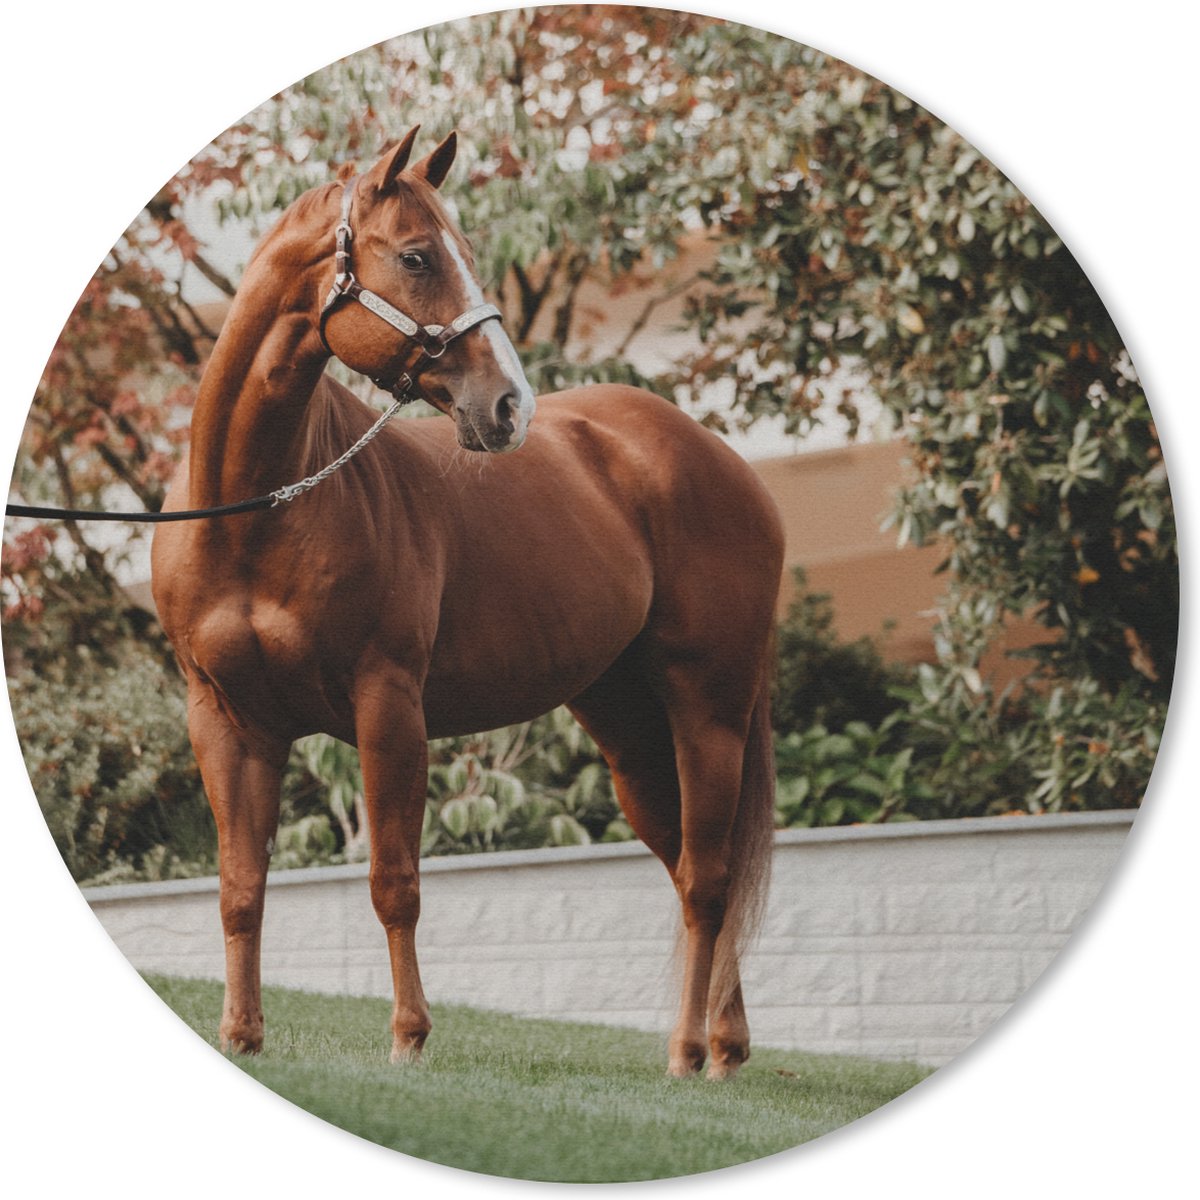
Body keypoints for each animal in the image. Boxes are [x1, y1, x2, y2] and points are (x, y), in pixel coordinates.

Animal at [151, 127, 785, 1080]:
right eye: (417, 256)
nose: (508, 405)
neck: (254, 511)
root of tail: (721, 461)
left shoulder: (388, 707)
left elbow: (395, 883)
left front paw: (410, 1038)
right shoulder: (227, 722)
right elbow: (239, 890)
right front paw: (243, 1036)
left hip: (709, 713)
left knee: (708, 880)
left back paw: (685, 1053)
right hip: (629, 732)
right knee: (686, 864)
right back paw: (725, 1046)